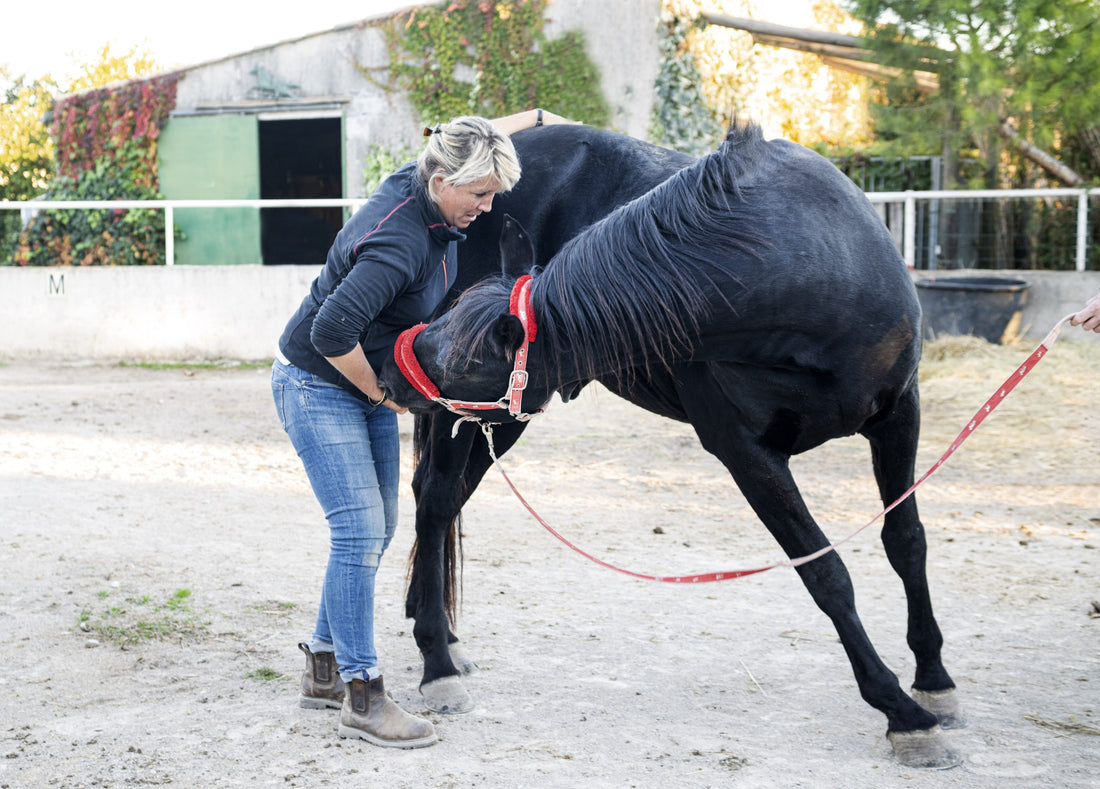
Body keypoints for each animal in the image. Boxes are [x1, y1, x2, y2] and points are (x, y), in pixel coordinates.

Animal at [379, 120, 964, 768]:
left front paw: (933, 681)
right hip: (479, 426)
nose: (389, 375)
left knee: (442, 501)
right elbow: (828, 575)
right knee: (435, 504)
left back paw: (442, 635)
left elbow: (906, 543)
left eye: (462, 362)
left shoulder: (899, 415)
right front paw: (901, 712)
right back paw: (436, 661)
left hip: (493, 423)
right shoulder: (746, 453)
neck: (807, 263)